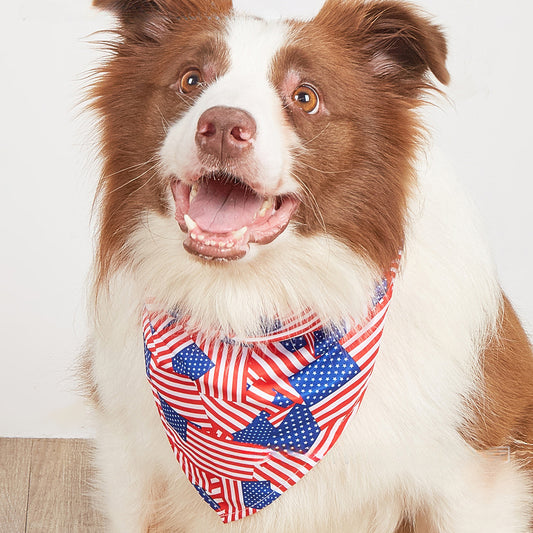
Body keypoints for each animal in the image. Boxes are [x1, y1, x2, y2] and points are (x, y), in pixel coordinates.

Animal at [84, 0, 532, 528]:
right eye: (191, 79)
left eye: (305, 96)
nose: (221, 128)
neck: (250, 308)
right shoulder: (128, 464)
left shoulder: (471, 481)